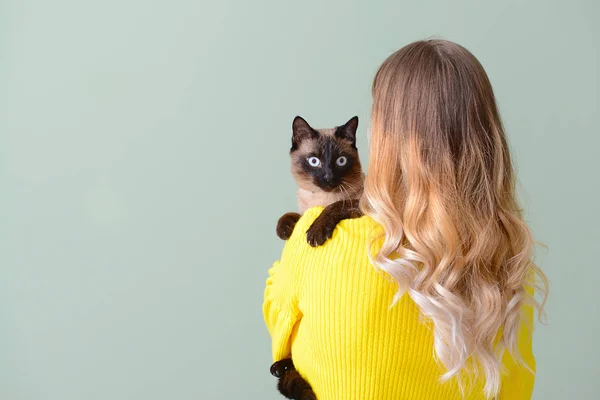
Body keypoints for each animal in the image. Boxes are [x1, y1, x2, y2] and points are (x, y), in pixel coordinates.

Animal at [272, 114, 366, 398]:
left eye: (340, 161)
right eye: (314, 161)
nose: (328, 176)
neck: (320, 198)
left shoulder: (359, 206)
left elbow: (335, 207)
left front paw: (315, 233)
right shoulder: (305, 209)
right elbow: (292, 216)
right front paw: (285, 229)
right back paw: (279, 368)